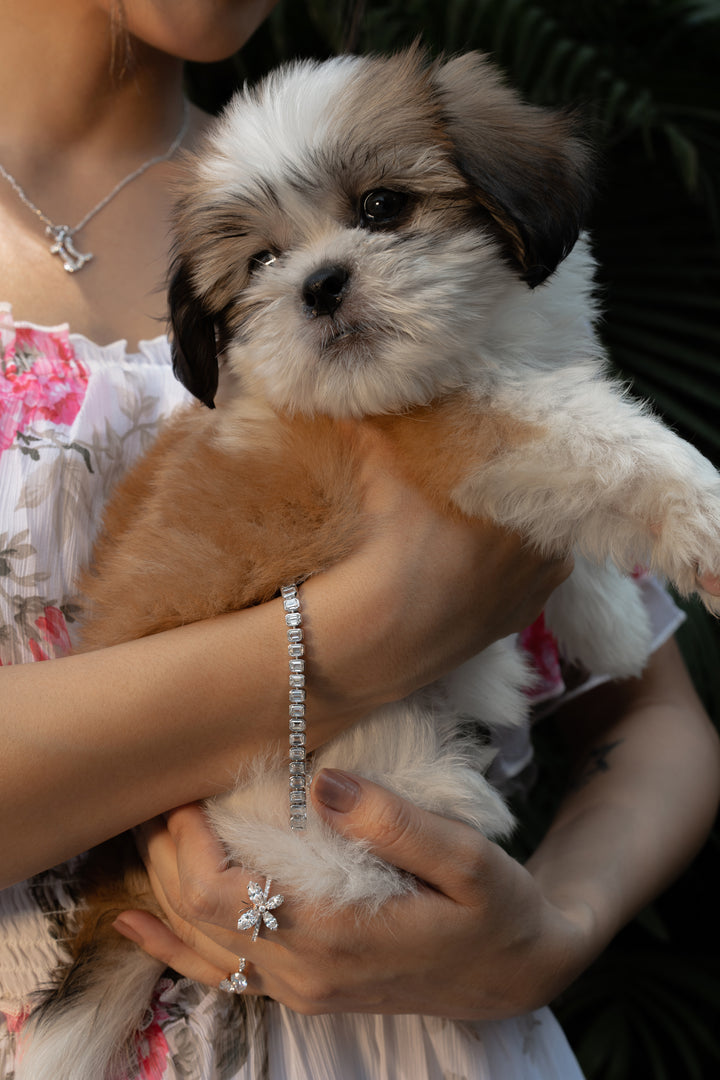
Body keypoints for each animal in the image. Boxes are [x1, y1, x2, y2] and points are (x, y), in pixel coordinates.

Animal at [18, 48, 720, 1080]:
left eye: (384, 207)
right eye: (263, 264)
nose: (320, 282)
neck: (472, 341)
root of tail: (117, 886)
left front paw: (611, 624)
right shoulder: (475, 423)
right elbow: (598, 440)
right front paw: (705, 516)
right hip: (273, 780)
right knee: (322, 847)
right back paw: (445, 785)